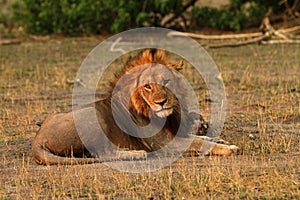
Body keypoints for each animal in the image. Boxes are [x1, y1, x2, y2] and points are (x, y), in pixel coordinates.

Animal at [32, 48, 239, 166]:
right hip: (93, 117)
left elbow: (199, 137)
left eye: (166, 81)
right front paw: (229, 148)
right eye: (147, 86)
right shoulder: (163, 144)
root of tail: (39, 137)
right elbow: (198, 142)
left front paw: (218, 139)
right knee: (103, 153)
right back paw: (137, 154)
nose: (160, 102)